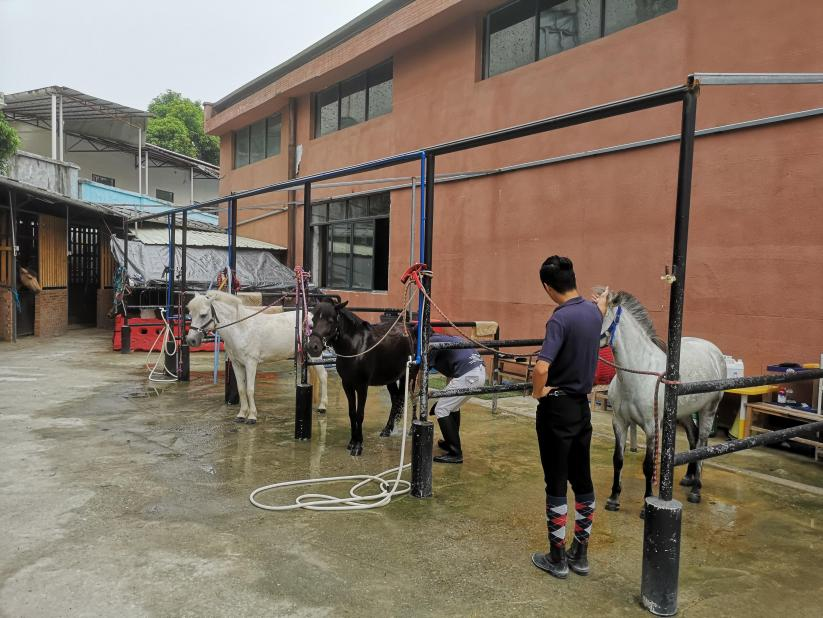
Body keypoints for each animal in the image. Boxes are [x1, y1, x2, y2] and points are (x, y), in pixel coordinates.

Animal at [185, 290, 330, 424]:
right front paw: (241, 415)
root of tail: (311, 316)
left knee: (323, 376)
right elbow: (241, 389)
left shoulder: (251, 363)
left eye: (203, 315)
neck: (240, 329)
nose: (191, 340)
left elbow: (249, 389)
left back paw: (322, 407)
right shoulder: (236, 364)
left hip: (315, 355)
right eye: (191, 314)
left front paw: (252, 416)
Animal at [306, 300, 416, 454]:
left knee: (414, 398)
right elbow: (352, 413)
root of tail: (410, 329)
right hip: (390, 379)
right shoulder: (347, 384)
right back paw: (387, 430)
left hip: (411, 375)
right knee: (396, 400)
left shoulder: (362, 386)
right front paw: (352, 442)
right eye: (314, 320)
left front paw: (358, 446)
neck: (355, 347)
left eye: (330, 321)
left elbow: (360, 414)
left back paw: (412, 428)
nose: (313, 347)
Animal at [600, 288, 728, 510]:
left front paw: (646, 504)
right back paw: (688, 478)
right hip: (683, 413)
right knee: (693, 438)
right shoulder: (619, 422)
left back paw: (696, 490)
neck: (639, 373)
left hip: (708, 410)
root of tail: (715, 352)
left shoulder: (652, 427)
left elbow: (649, 465)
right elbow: (618, 459)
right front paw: (614, 498)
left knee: (703, 443)